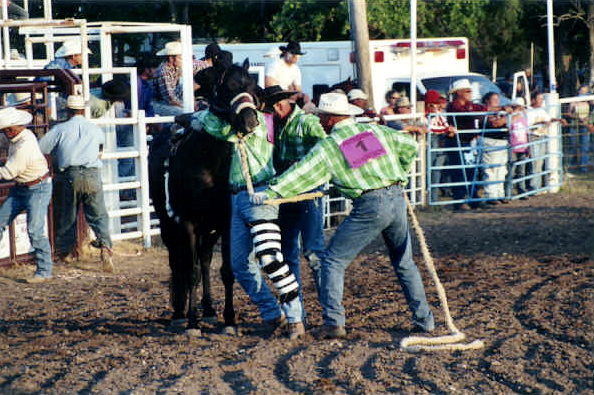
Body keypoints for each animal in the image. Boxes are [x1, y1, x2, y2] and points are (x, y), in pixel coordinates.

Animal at [148, 60, 260, 336]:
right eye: (228, 88)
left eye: (252, 87)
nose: (250, 121)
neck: (210, 162)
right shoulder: (187, 223)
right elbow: (190, 272)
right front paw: (191, 322)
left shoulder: (225, 223)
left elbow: (226, 271)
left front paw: (229, 320)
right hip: (168, 225)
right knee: (178, 263)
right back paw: (179, 314)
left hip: (209, 230)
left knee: (206, 260)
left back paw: (208, 310)